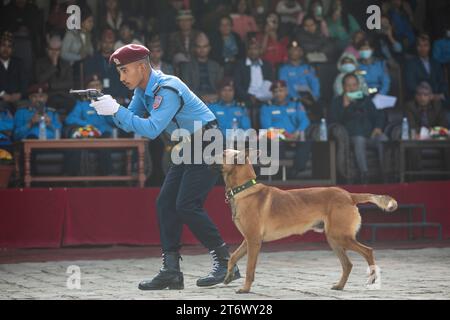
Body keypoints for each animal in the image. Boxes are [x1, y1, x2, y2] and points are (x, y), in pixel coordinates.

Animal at [220, 149, 400, 294]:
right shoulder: (248, 240)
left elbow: (249, 269)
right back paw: (339, 286)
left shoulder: (254, 241)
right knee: (348, 264)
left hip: (340, 237)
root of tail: (349, 195)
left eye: (222, 153)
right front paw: (229, 276)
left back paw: (372, 279)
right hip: (334, 239)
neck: (244, 189)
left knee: (368, 251)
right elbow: (233, 256)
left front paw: (245, 289)